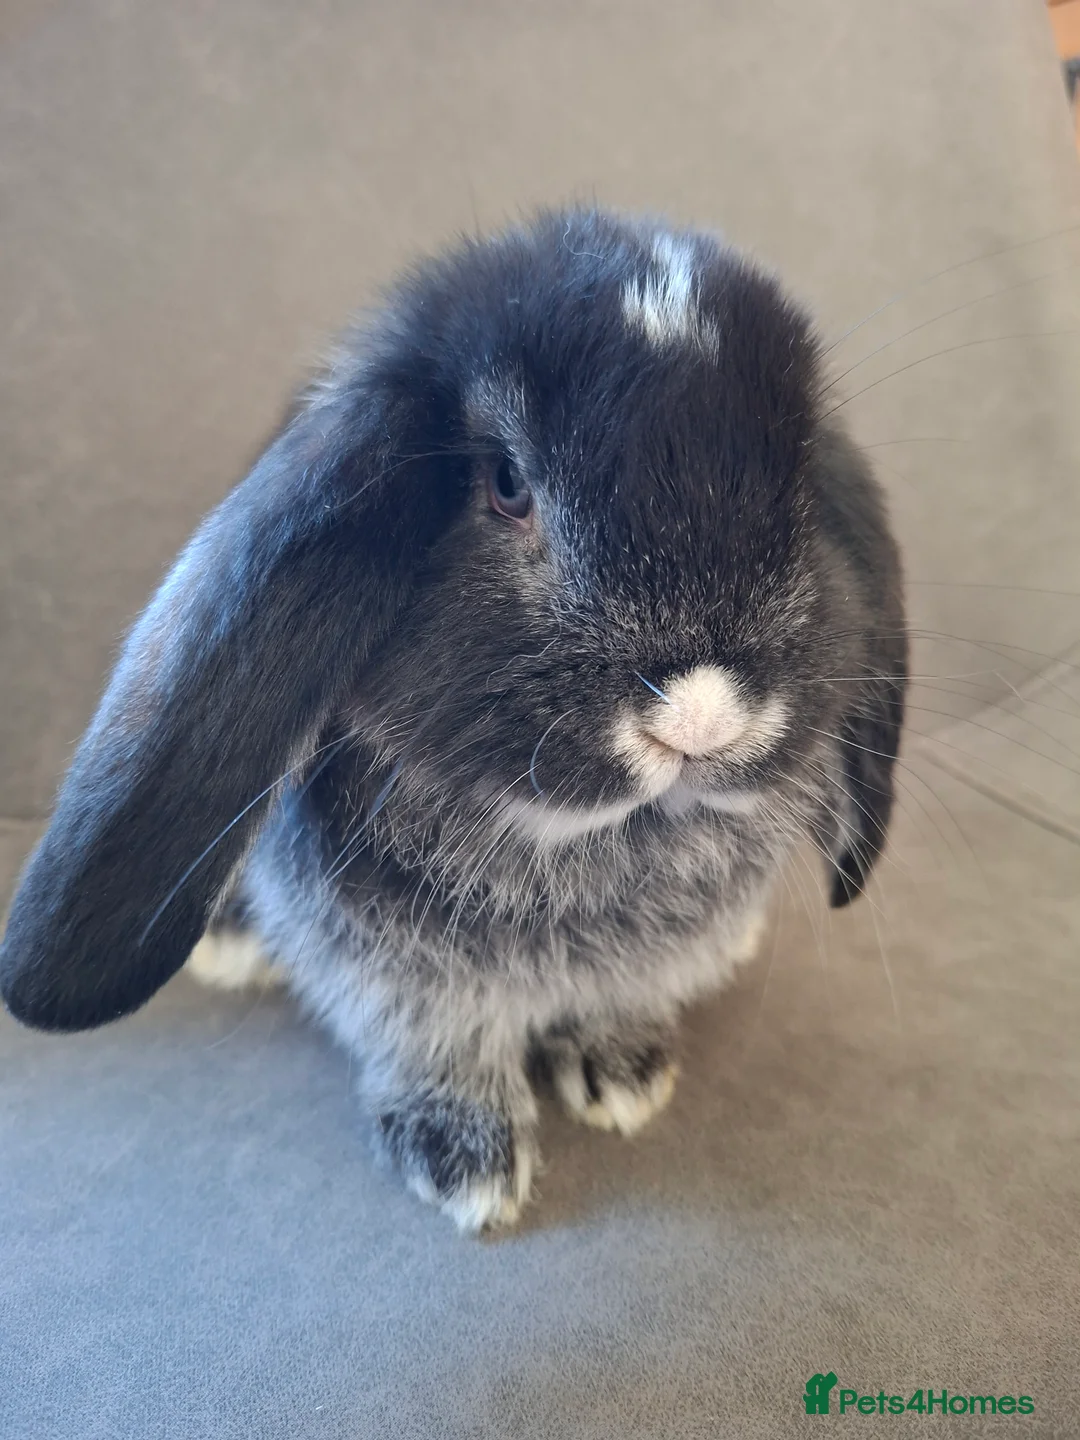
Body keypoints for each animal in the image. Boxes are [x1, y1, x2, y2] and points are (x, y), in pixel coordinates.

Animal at [0, 209, 907, 1231]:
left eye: (800, 488)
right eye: (507, 485)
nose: (702, 718)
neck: (587, 855)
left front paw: (626, 1074)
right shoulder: (391, 969)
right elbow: (434, 1037)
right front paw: (466, 1162)